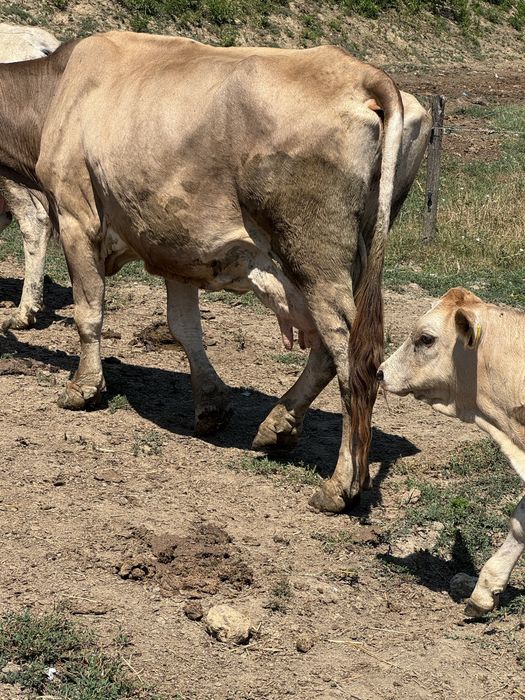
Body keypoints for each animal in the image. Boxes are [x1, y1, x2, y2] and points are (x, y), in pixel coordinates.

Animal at [0, 31, 430, 512]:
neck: (55, 89)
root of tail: (362, 73)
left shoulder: (77, 215)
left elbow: (88, 313)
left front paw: (83, 387)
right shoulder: (173, 242)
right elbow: (184, 327)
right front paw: (211, 404)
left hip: (313, 256)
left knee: (351, 357)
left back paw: (340, 485)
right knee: (326, 352)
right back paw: (278, 426)